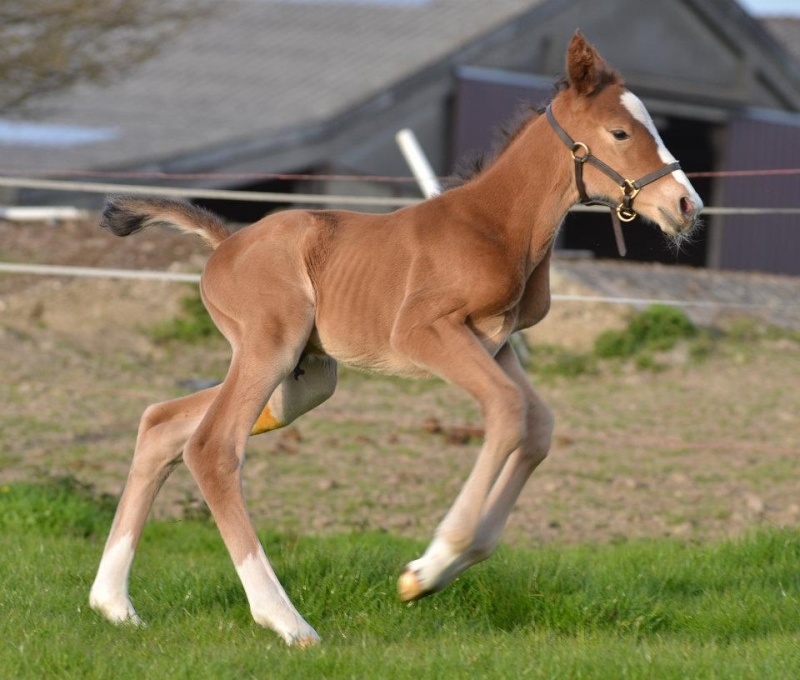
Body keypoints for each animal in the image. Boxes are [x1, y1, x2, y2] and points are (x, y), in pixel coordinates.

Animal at [89, 33, 700, 648]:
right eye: (620, 132)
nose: (686, 206)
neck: (496, 225)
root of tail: (226, 242)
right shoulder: (424, 331)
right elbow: (508, 412)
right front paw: (427, 570)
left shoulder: (497, 344)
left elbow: (538, 427)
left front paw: (448, 564)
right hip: (270, 347)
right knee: (212, 447)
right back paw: (285, 621)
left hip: (304, 379)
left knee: (163, 423)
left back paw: (113, 604)